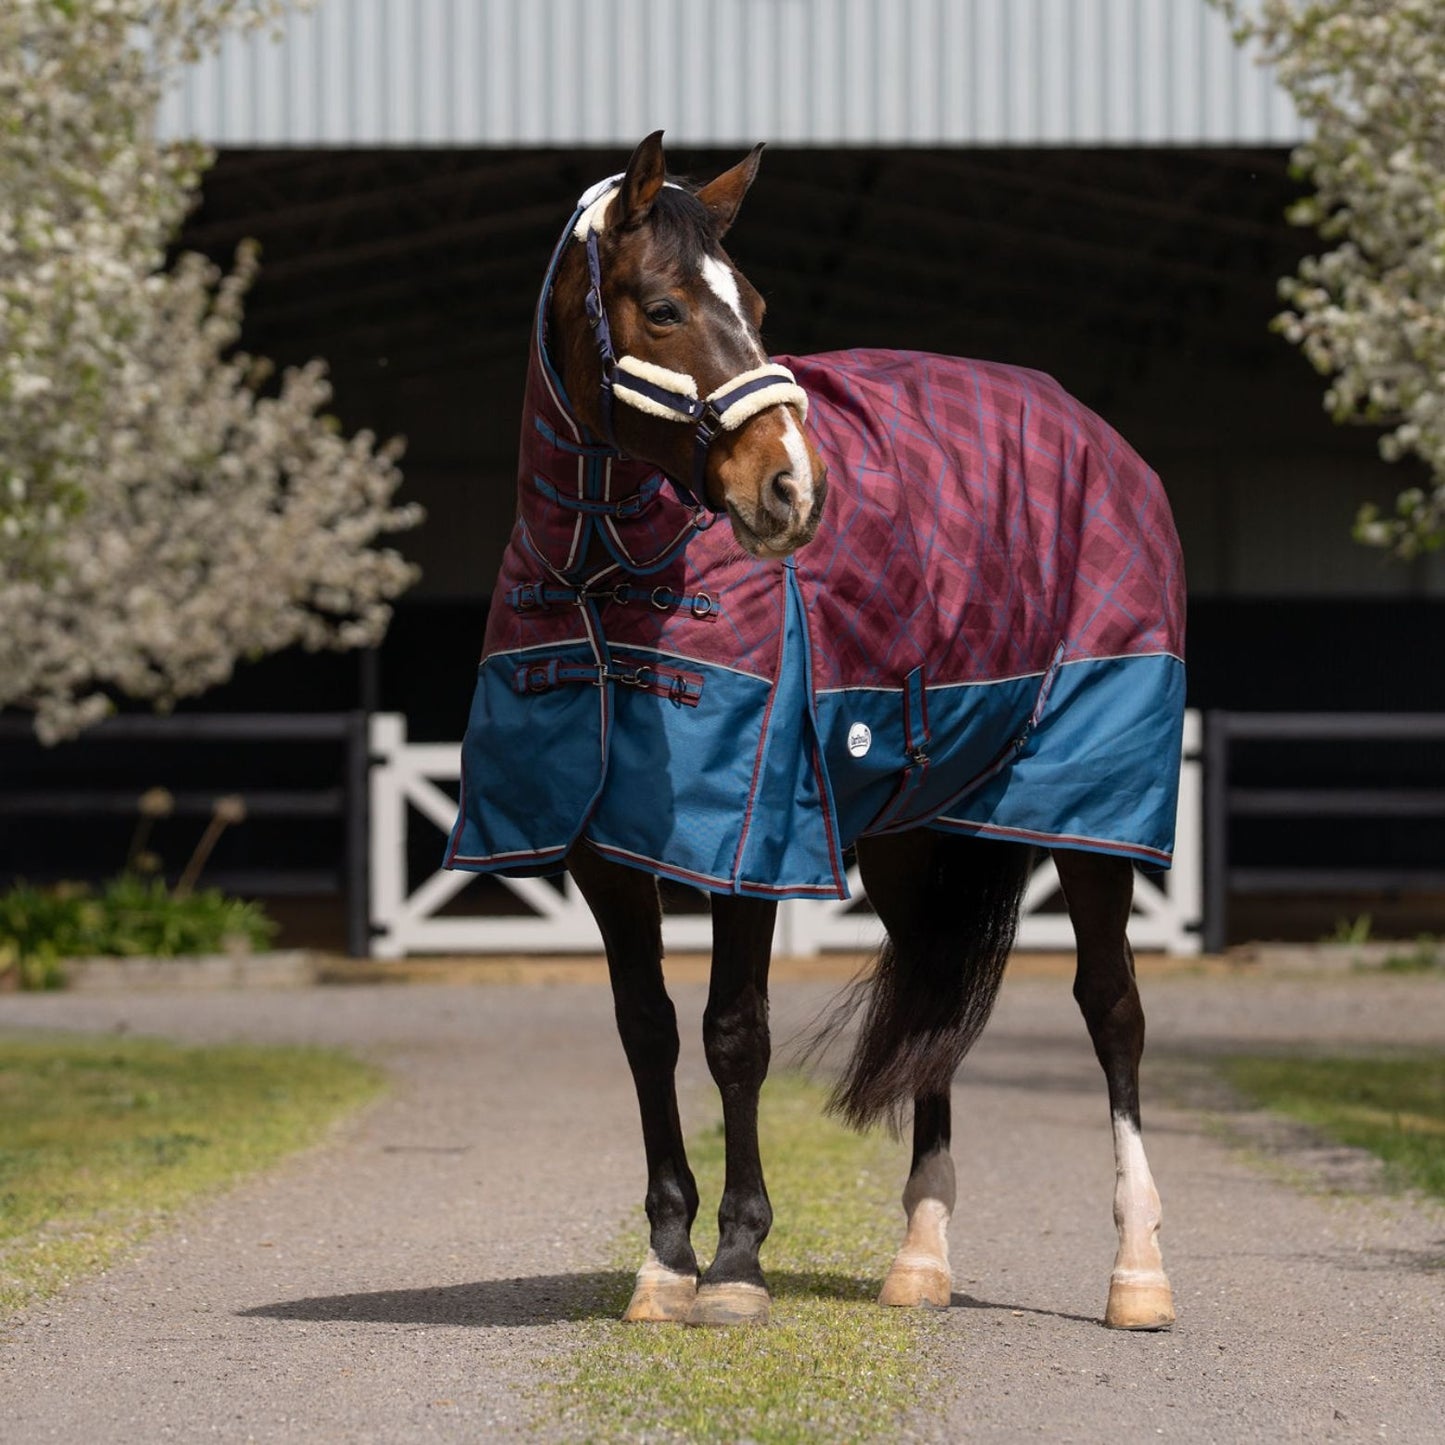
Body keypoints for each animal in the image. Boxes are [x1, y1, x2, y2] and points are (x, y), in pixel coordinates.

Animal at [447, 132, 1184, 1331]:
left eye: (751, 303)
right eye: (662, 308)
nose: (794, 485)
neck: (607, 575)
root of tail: (1103, 440)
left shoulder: (749, 838)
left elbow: (732, 1034)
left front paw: (737, 1262)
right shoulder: (608, 852)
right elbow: (647, 1030)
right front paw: (665, 1258)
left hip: (1091, 820)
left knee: (1110, 1010)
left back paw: (1137, 1272)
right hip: (910, 836)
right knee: (932, 1002)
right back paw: (919, 1257)